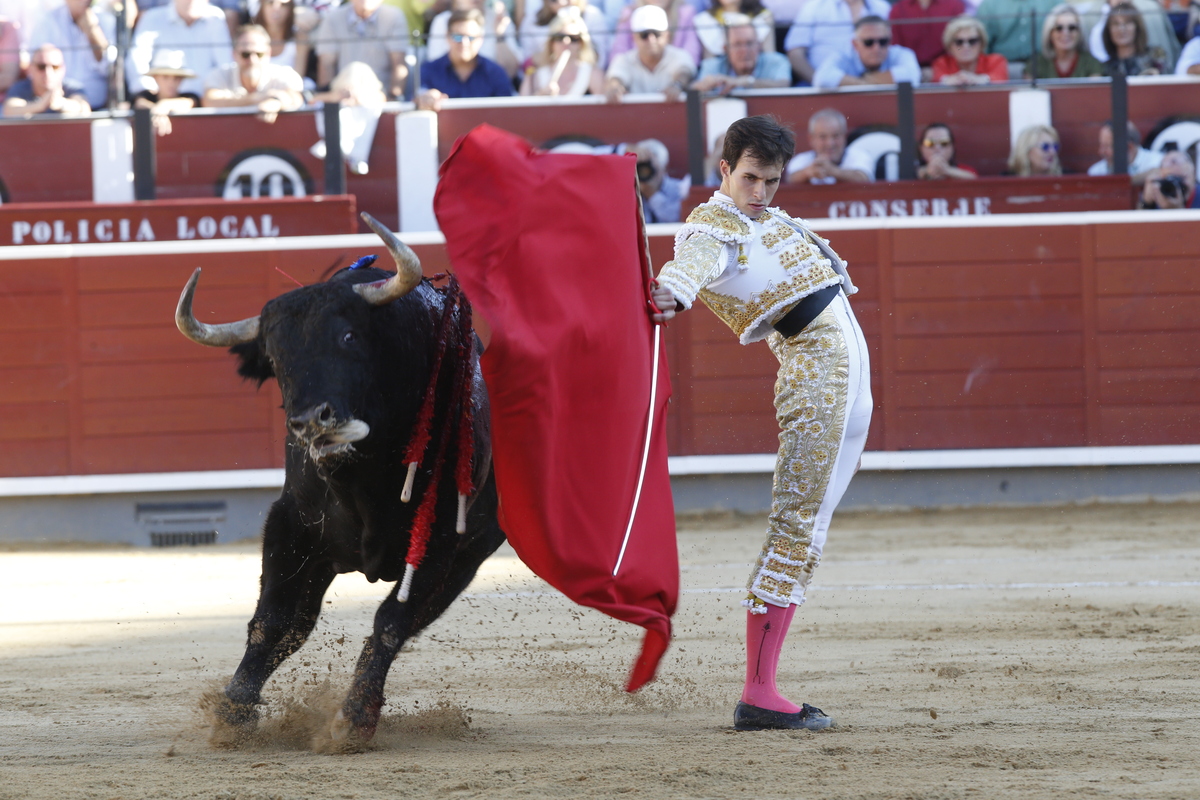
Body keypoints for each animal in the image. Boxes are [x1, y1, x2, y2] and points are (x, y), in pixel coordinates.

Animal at [175, 214, 504, 743]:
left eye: (349, 337)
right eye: (275, 358)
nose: (313, 420)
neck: (363, 480)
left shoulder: (437, 541)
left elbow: (392, 620)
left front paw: (355, 715)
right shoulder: (291, 522)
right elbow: (275, 620)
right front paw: (233, 709)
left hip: (470, 555)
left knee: (404, 620)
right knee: (300, 624)